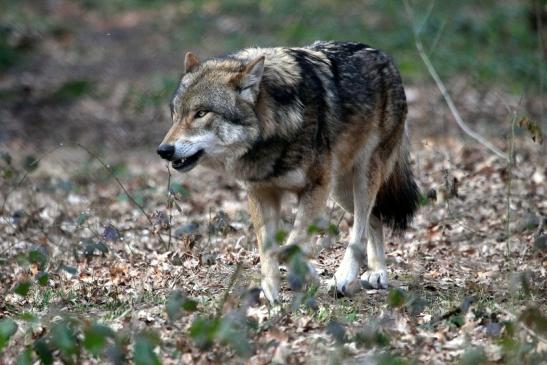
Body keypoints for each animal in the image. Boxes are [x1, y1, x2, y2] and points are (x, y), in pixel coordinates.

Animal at [156, 40, 422, 304]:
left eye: (201, 113)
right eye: (175, 114)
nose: (163, 150)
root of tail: (384, 56)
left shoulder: (316, 187)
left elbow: (288, 246)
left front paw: (308, 275)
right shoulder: (261, 194)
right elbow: (269, 250)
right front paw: (273, 294)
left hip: (360, 177)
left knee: (360, 227)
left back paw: (347, 277)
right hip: (340, 189)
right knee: (373, 218)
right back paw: (376, 271)